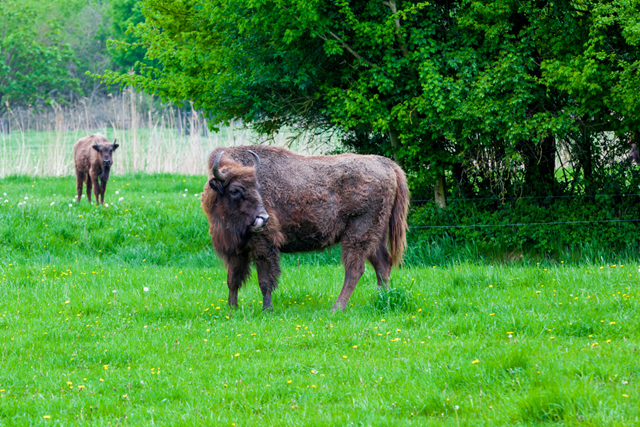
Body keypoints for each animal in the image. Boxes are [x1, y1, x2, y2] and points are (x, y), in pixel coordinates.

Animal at [201, 146, 410, 310]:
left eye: (258, 188)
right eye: (235, 190)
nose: (263, 218)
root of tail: (386, 164)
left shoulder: (264, 245)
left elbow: (265, 280)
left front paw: (267, 309)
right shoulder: (236, 250)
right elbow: (232, 279)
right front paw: (232, 308)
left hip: (358, 232)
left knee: (355, 269)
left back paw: (336, 308)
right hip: (377, 234)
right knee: (382, 265)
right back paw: (383, 300)